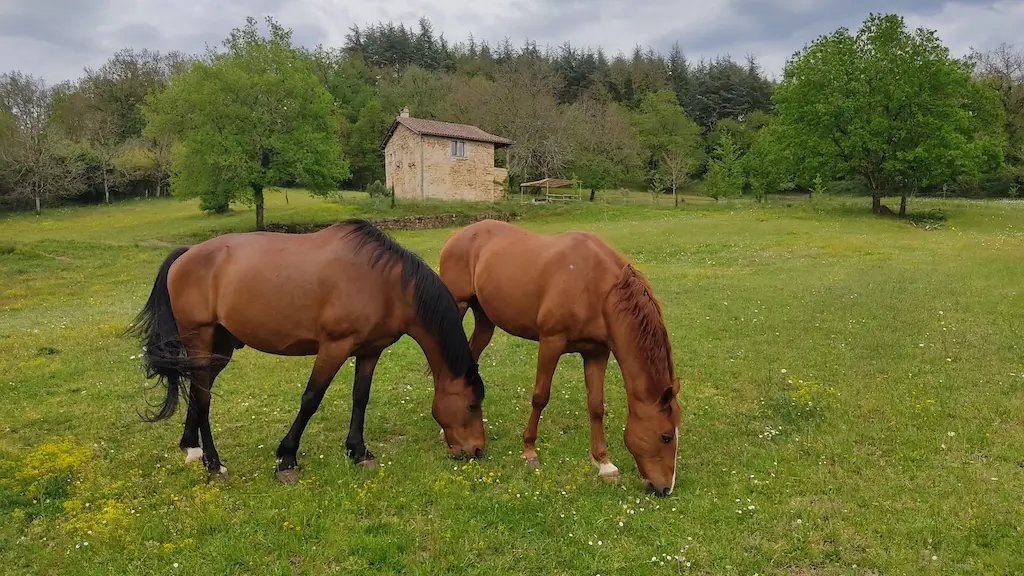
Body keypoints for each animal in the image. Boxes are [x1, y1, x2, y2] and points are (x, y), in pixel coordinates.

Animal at [130, 217, 485, 481]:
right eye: (471, 404)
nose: (476, 450)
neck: (385, 284)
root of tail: (187, 253)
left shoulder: (370, 351)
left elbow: (361, 397)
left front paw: (358, 451)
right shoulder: (334, 347)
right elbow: (311, 399)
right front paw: (287, 458)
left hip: (220, 347)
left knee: (196, 389)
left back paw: (192, 448)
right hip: (201, 341)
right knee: (203, 396)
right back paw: (214, 463)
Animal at [438, 218, 679, 494]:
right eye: (665, 436)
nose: (666, 488)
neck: (595, 286)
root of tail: (457, 235)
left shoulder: (596, 353)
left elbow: (596, 405)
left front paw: (604, 464)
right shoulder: (551, 342)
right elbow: (540, 397)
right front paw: (529, 451)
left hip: (485, 321)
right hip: (457, 306)